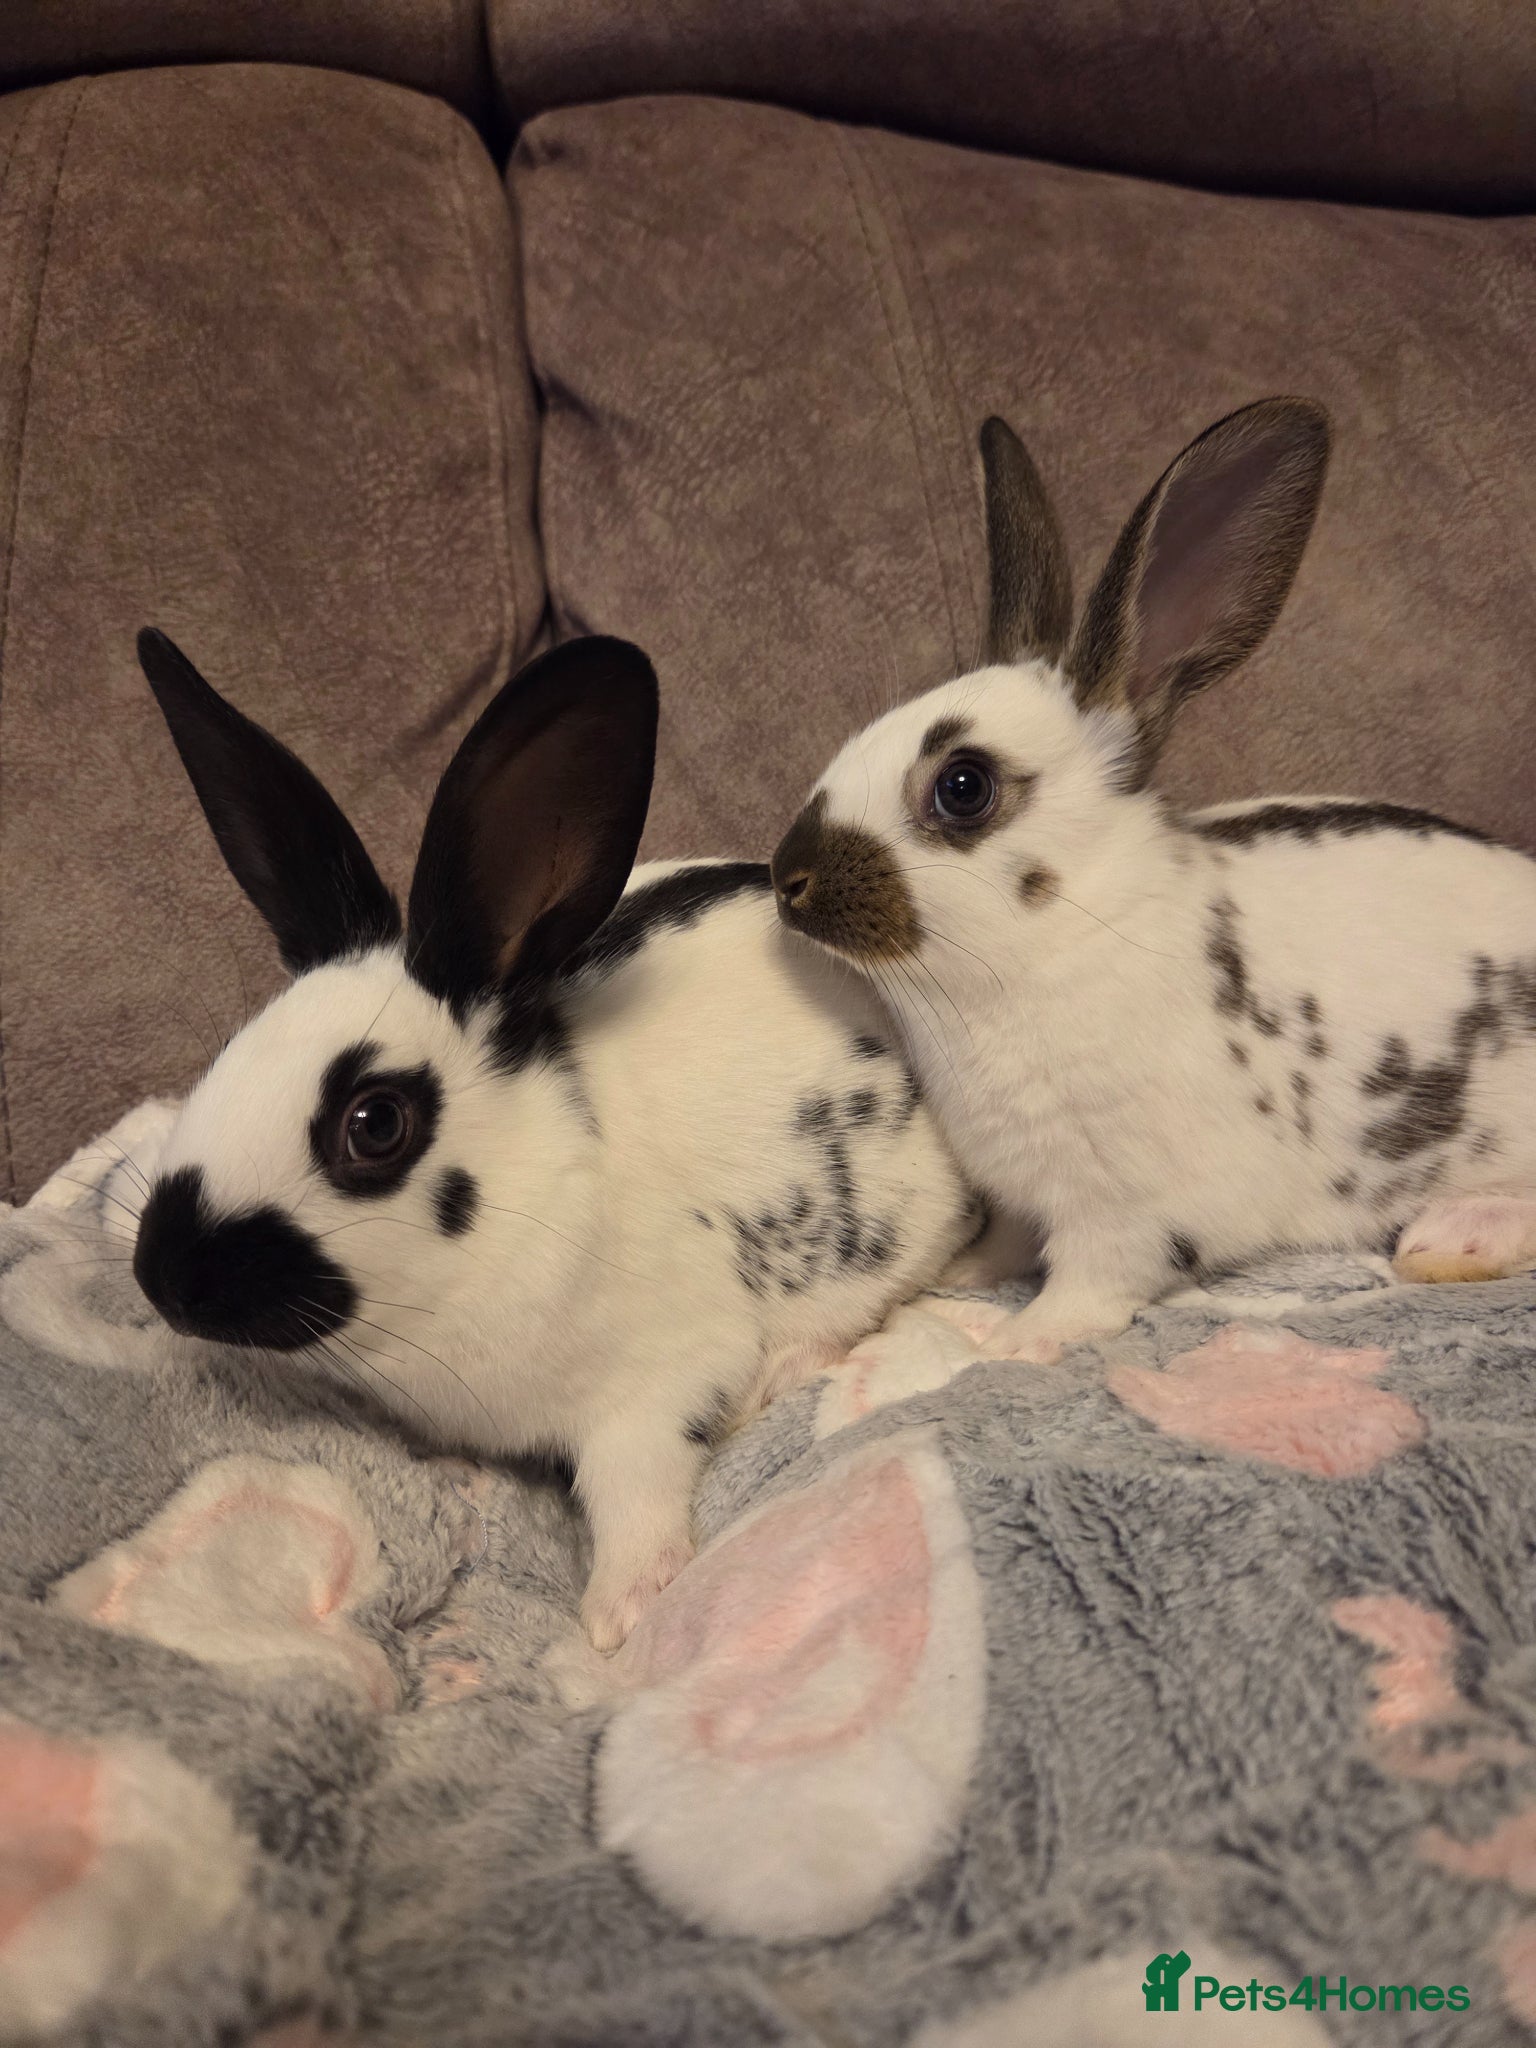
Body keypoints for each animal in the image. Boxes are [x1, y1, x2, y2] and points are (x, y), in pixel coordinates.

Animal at [128, 628, 974, 1646]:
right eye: (229, 1051)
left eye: (374, 1124)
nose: (165, 1280)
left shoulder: (657, 1381)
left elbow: (634, 1488)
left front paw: (622, 1613)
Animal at [770, 397, 1536, 1365]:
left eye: (963, 786)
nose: (786, 877)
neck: (1063, 938)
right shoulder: (1022, 1197)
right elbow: (1008, 1242)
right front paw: (963, 1279)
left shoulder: (1128, 1212)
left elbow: (1091, 1281)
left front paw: (1017, 1342)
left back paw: (1457, 1238)